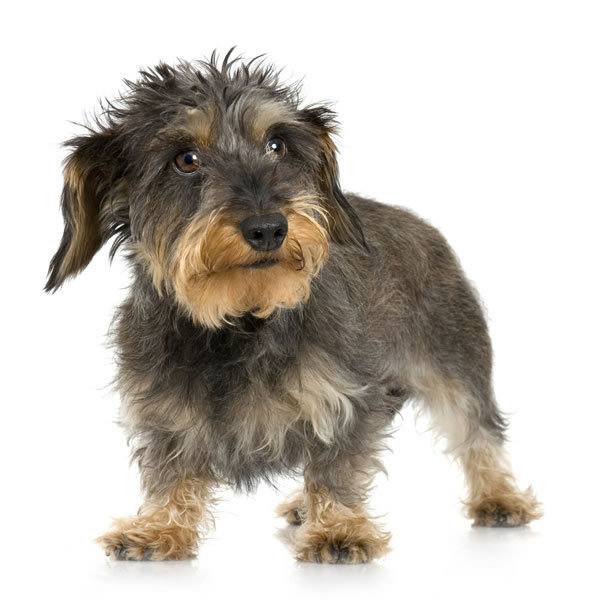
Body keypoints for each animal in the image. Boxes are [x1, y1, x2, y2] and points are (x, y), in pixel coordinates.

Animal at [47, 50, 540, 564]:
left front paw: (339, 527)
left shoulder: (349, 397)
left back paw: (498, 496)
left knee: (477, 430)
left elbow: (336, 466)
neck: (238, 321)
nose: (268, 228)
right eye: (185, 158)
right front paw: (160, 527)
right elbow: (172, 472)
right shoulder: (164, 411)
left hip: (455, 361)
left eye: (277, 145)